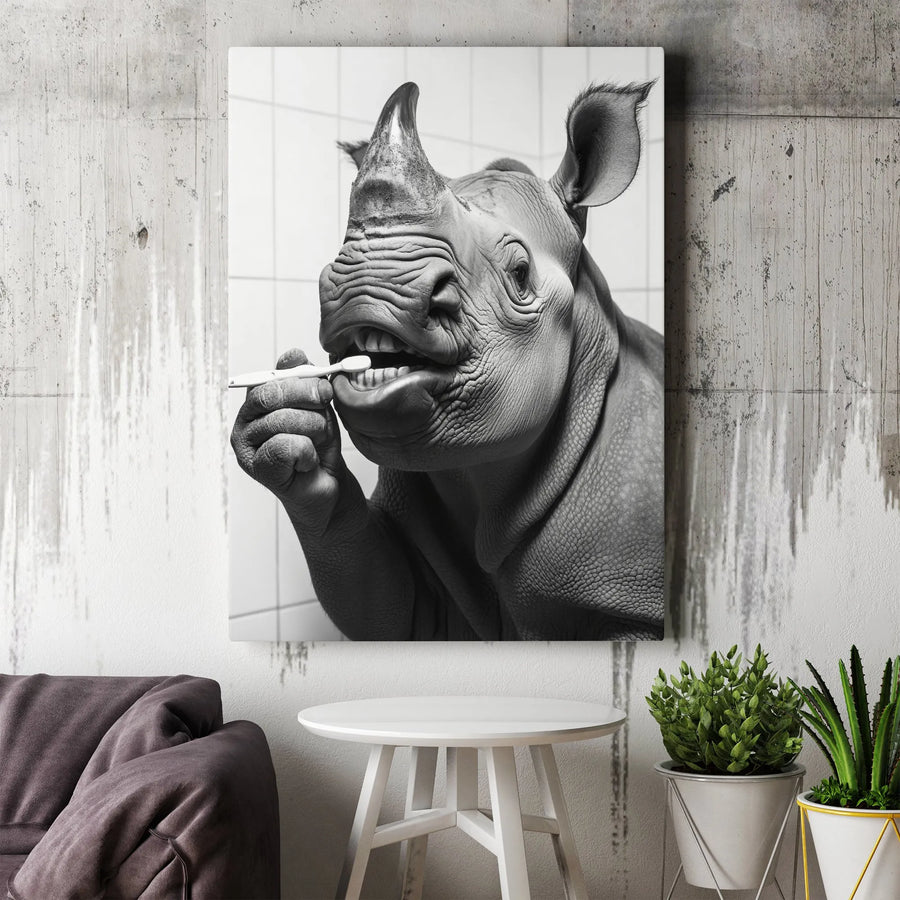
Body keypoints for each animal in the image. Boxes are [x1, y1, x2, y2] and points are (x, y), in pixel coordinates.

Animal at [231, 81, 664, 640]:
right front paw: (285, 421)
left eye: (520, 274)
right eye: (331, 269)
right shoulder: (422, 597)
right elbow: (391, 607)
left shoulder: (629, 605)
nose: (360, 287)